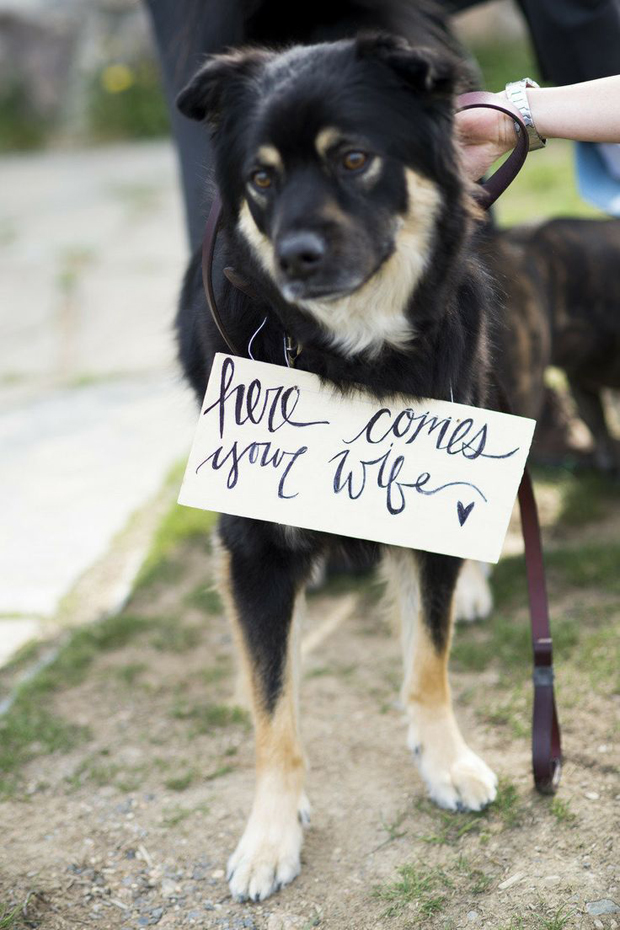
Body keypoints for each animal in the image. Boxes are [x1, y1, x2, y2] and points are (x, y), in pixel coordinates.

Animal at [176, 3, 498, 904]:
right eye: (260, 180)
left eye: (354, 159)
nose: (295, 257)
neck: (351, 354)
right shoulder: (250, 545)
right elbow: (272, 706)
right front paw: (270, 834)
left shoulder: (427, 497)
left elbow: (427, 659)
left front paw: (445, 761)